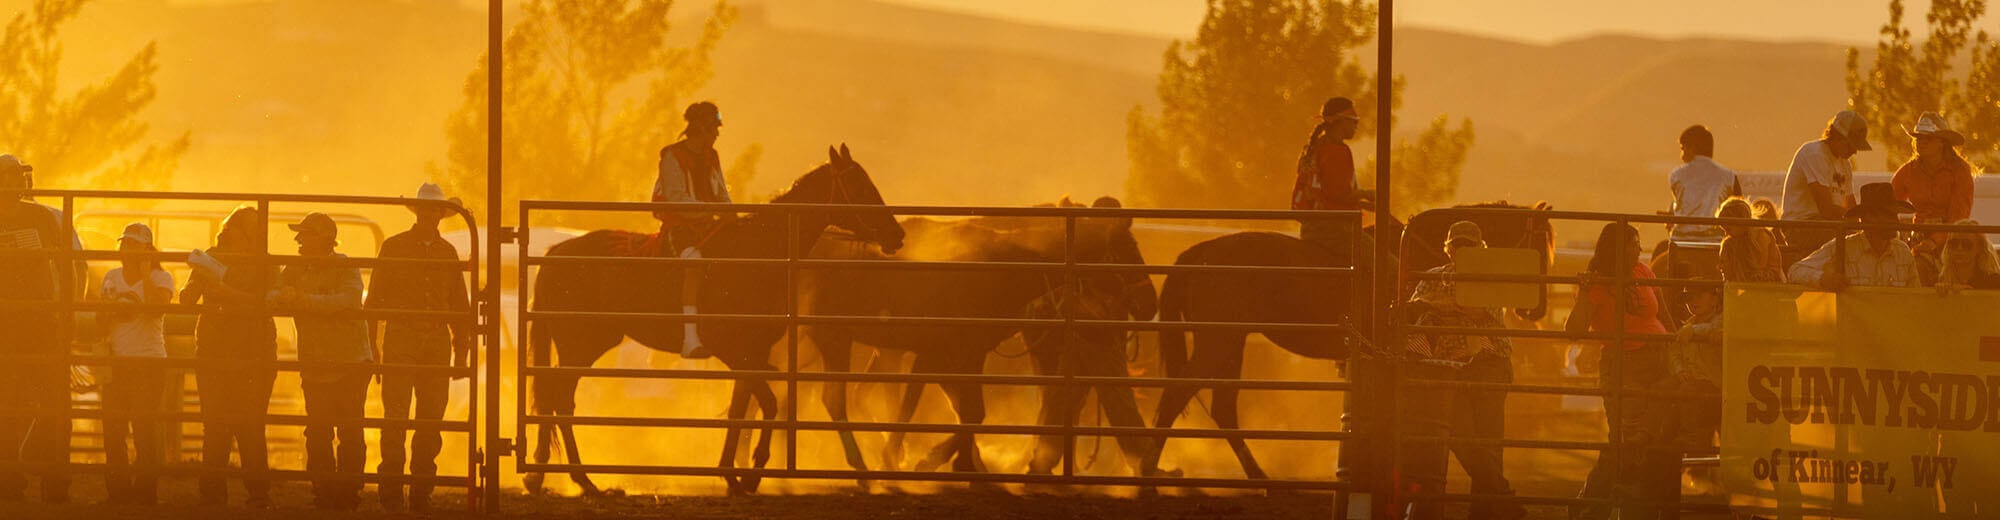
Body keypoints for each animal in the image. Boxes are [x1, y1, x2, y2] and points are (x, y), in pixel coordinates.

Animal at [524, 145, 905, 496]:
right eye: (856, 184)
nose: (896, 234)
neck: (757, 254)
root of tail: (555, 255)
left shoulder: (751, 356)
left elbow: (743, 408)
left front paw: (733, 476)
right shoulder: (737, 353)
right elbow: (766, 404)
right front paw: (749, 475)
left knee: (552, 397)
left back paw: (541, 476)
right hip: (580, 346)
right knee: (560, 400)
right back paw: (583, 481)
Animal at [801, 196, 1157, 478]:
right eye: (1127, 249)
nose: (1148, 303)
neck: (1003, 267)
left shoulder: (958, 354)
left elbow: (966, 411)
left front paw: (949, 462)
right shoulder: (951, 352)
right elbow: (956, 409)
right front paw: (926, 460)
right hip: (838, 340)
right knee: (841, 397)